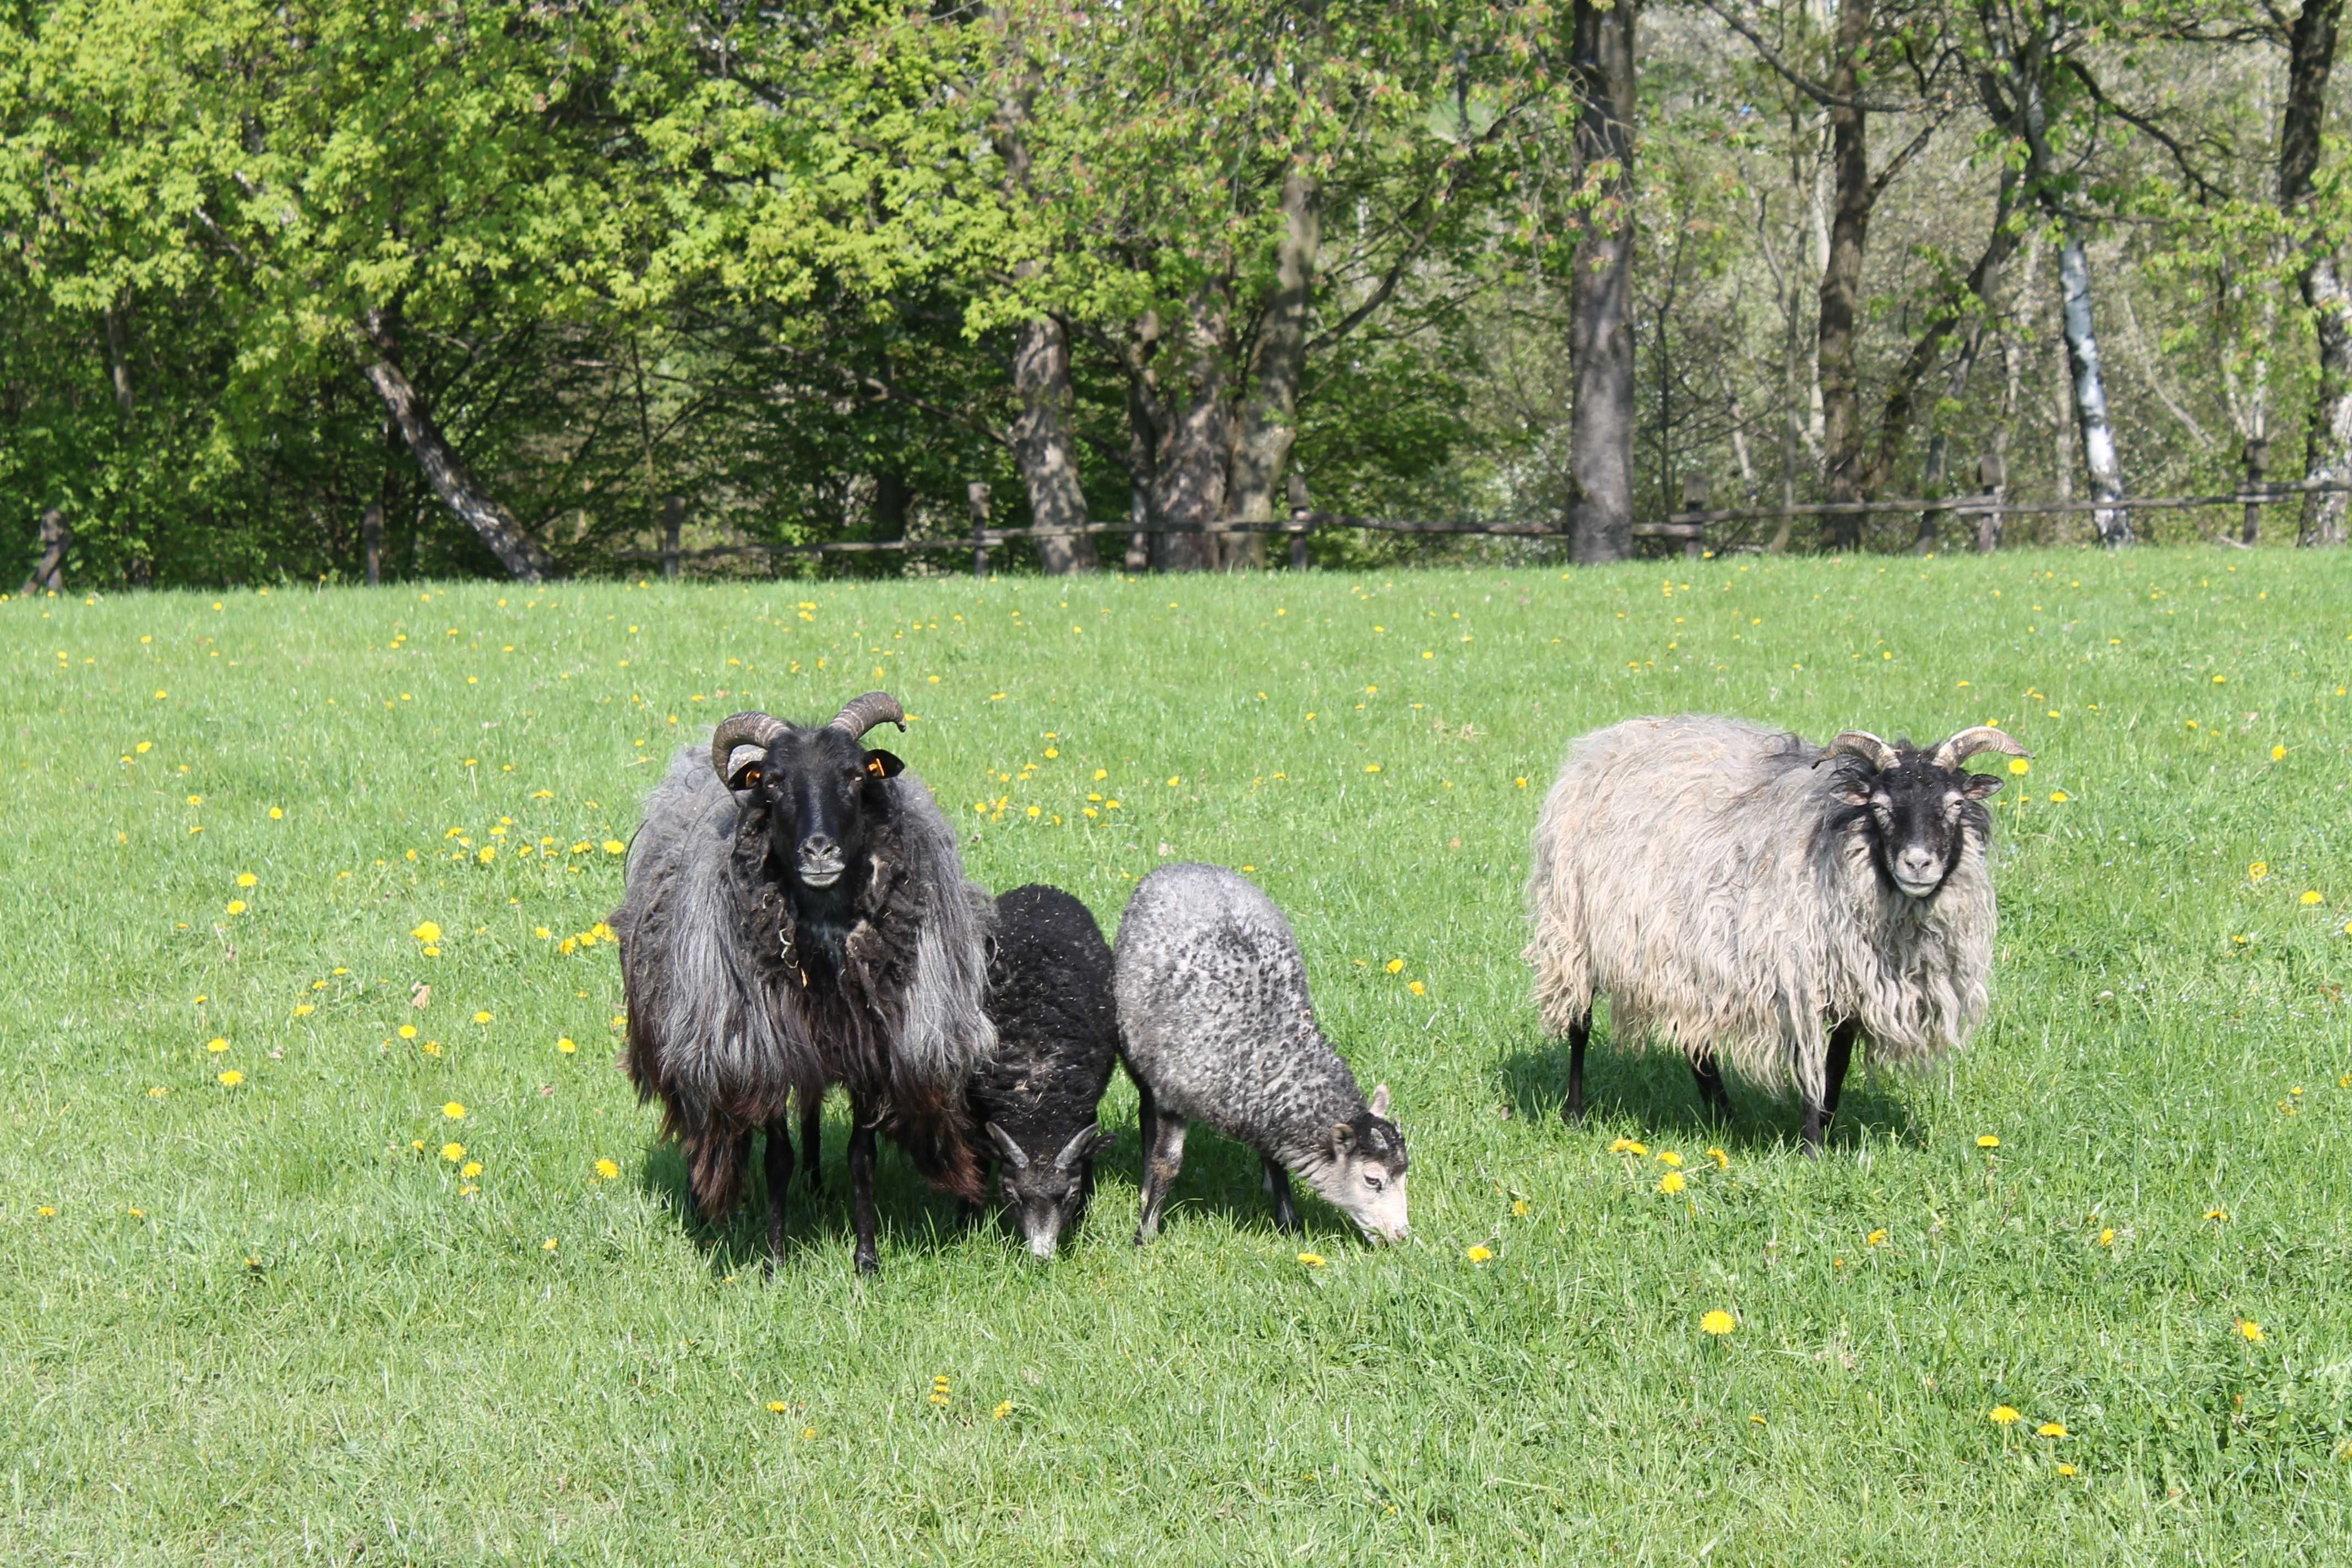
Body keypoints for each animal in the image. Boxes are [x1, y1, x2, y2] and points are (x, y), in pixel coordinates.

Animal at [607, 691, 992, 1278]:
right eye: (774, 782)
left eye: (856, 776)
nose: (819, 852)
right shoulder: (764, 1050)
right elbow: (776, 1159)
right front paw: (774, 1261)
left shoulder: (869, 1049)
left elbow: (862, 1158)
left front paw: (866, 1259)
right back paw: (704, 1203)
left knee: (811, 1108)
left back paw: (816, 1181)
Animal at [1110, 865, 1402, 1241]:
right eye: (1372, 1180)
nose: (1402, 1236)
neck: (1264, 1039)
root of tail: (1188, 865)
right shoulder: (1172, 1097)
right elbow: (1167, 1164)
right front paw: (1146, 1233)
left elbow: (1275, 1158)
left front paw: (1288, 1220)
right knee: (1146, 1116)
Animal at [1524, 715, 2022, 1152]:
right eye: (1879, 807)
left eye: (1954, 804)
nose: (1918, 864)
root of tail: (1602, 742)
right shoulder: (1798, 979)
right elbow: (1810, 1066)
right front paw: (1812, 1149)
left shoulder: (1850, 985)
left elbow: (1836, 1063)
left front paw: (1827, 1128)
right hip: (1574, 931)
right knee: (1579, 1024)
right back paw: (1575, 1113)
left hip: (1683, 953)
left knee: (1695, 1041)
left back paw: (1723, 1115)